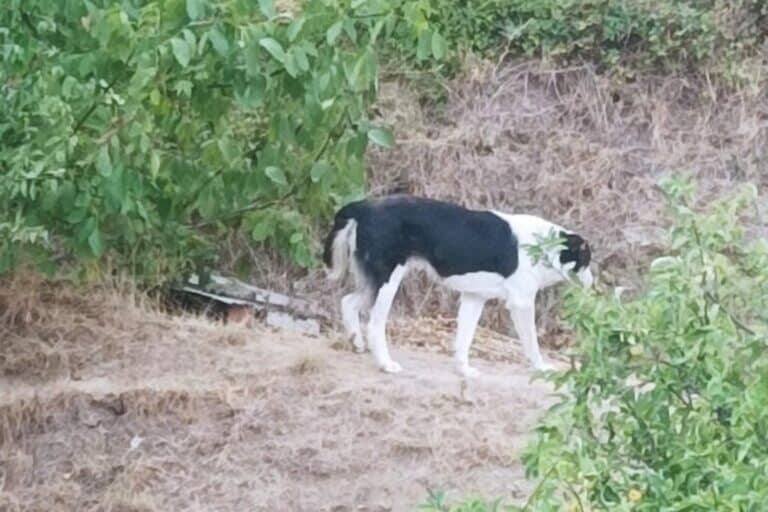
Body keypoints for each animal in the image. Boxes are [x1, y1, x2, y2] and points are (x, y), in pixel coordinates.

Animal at [320, 196, 592, 376]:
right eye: (587, 261)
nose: (593, 284)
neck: (544, 246)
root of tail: (364, 206)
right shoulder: (522, 304)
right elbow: (532, 343)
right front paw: (542, 368)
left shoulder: (474, 298)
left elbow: (464, 338)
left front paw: (464, 370)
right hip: (388, 282)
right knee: (375, 325)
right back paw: (386, 364)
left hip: (375, 283)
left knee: (347, 301)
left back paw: (356, 344)